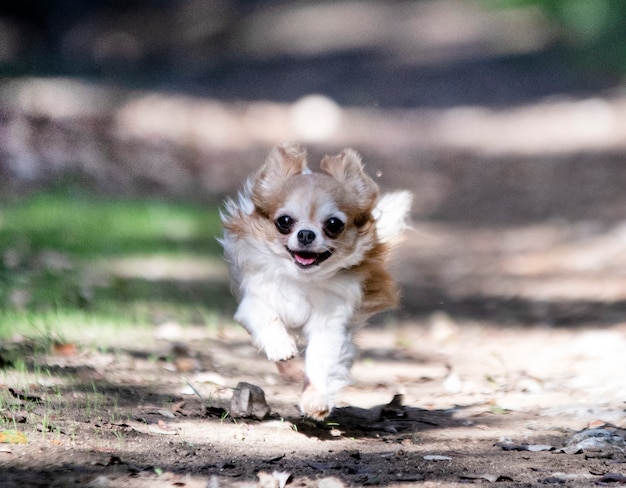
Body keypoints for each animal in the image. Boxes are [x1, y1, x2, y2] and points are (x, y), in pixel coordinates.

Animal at [219, 142, 410, 420]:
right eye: (284, 222)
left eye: (333, 224)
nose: (306, 234)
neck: (302, 280)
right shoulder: (253, 302)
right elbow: (267, 317)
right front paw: (280, 345)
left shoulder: (329, 325)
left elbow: (321, 362)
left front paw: (315, 399)